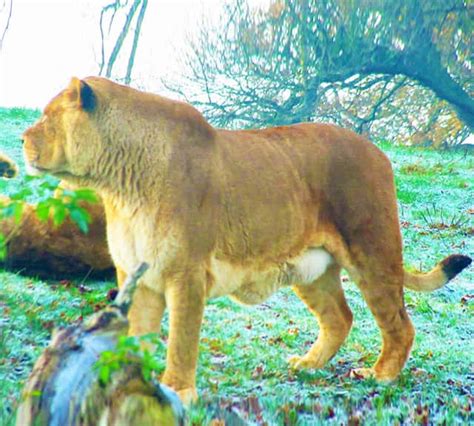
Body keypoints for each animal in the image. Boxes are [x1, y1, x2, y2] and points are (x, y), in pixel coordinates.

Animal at [21, 77, 470, 402]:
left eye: (46, 115)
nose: (23, 138)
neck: (119, 187)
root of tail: (379, 151)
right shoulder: (139, 275)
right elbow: (138, 335)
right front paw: (132, 381)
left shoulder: (186, 274)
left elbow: (181, 340)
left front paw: (178, 391)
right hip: (313, 270)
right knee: (340, 318)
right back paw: (308, 365)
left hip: (373, 252)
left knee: (399, 324)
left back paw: (380, 376)